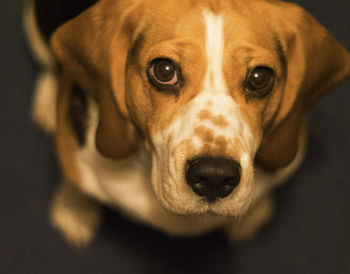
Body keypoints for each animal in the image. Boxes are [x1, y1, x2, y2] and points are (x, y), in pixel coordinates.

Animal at [23, 0, 348, 247]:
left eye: (260, 77)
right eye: (164, 70)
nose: (214, 177)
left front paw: (254, 216)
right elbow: (76, 184)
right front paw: (74, 213)